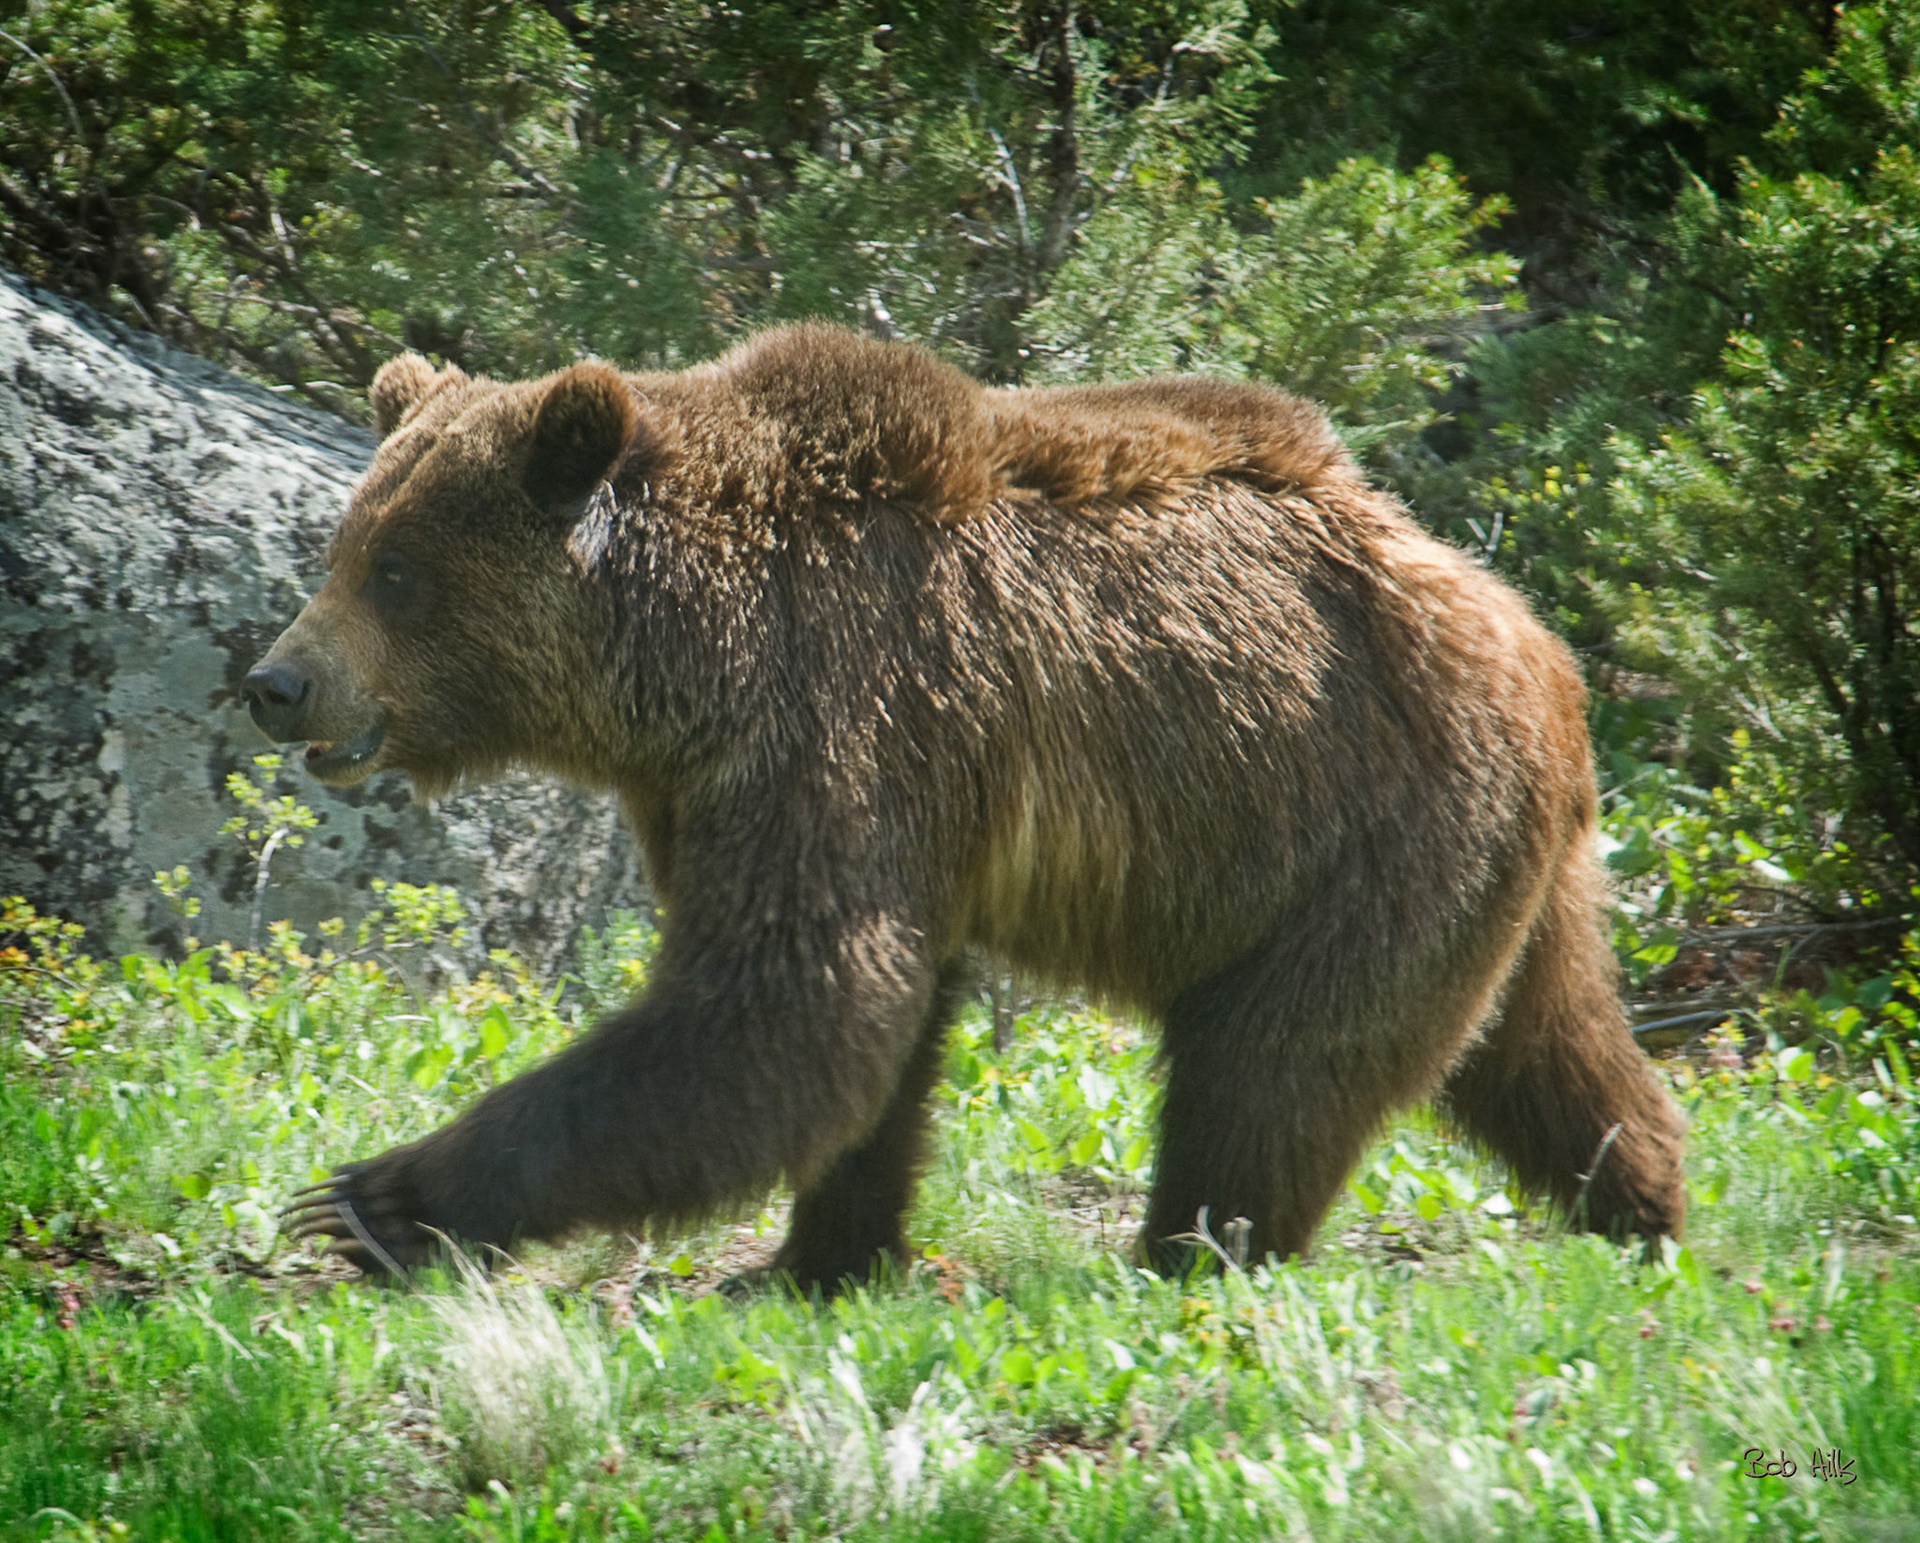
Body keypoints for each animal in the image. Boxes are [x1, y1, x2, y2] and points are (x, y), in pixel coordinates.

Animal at [251, 324, 1687, 1287]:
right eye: (346, 543)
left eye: (396, 568)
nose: (277, 681)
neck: (681, 659)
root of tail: (1543, 651)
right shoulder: (750, 782)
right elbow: (863, 1032)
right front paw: (818, 1256)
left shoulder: (841, 714)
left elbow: (789, 1001)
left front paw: (375, 1196)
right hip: (1498, 862)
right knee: (1547, 1041)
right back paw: (1648, 1200)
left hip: (1356, 823)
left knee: (1272, 1066)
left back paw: (1187, 1251)